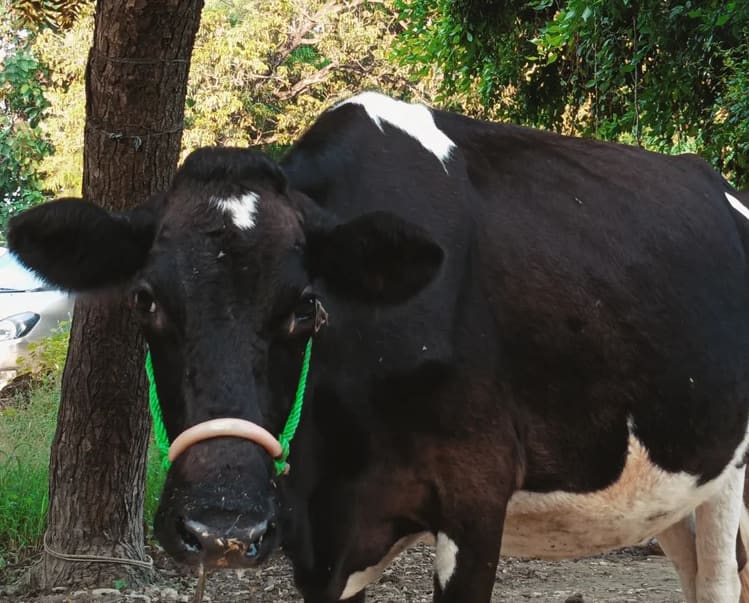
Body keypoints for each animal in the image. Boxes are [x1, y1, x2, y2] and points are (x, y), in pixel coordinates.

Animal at [8, 92, 749, 603]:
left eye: (306, 306)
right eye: (145, 300)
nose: (223, 527)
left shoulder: (475, 498)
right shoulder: (322, 545)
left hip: (731, 472)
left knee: (718, 583)